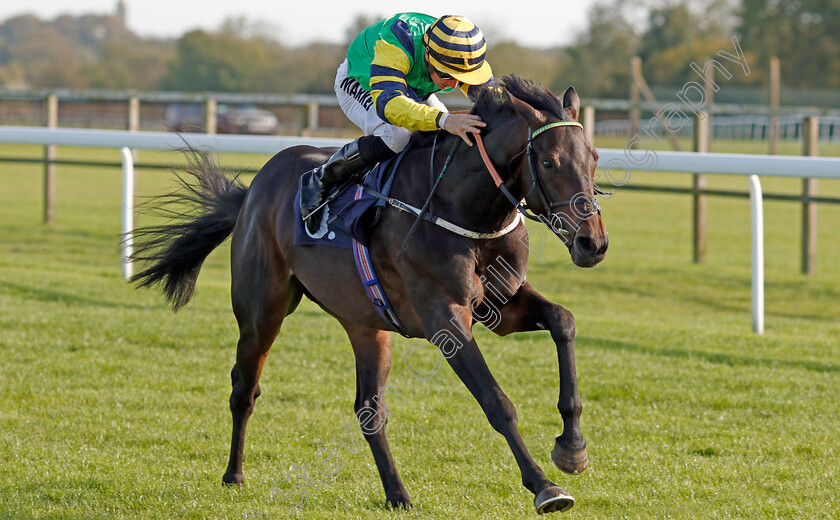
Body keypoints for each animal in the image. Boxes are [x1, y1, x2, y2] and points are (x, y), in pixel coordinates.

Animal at [133, 75, 612, 512]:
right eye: (548, 162)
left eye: (593, 158)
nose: (593, 242)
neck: (462, 206)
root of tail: (254, 188)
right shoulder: (445, 318)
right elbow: (497, 402)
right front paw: (544, 486)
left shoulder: (500, 306)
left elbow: (563, 321)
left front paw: (572, 446)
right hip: (262, 311)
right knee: (244, 388)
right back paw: (234, 475)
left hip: (367, 326)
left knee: (369, 411)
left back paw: (397, 493)